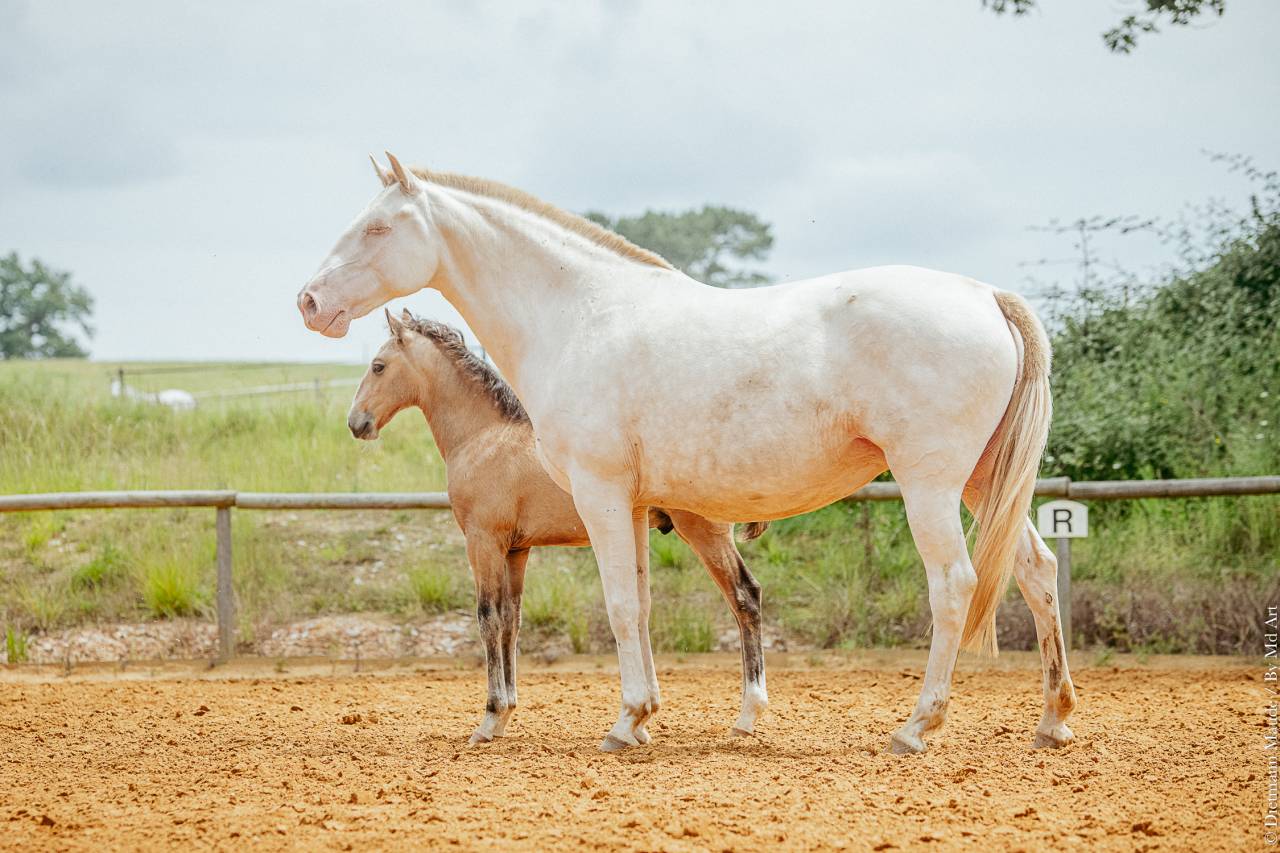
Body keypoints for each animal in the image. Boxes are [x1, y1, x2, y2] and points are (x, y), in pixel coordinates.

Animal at [348, 308, 770, 743]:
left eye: (378, 366)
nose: (356, 422)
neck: (484, 437)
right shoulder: (517, 550)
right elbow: (511, 621)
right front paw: (506, 715)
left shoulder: (483, 542)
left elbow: (487, 618)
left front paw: (489, 719)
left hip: (703, 532)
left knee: (745, 597)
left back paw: (745, 717)